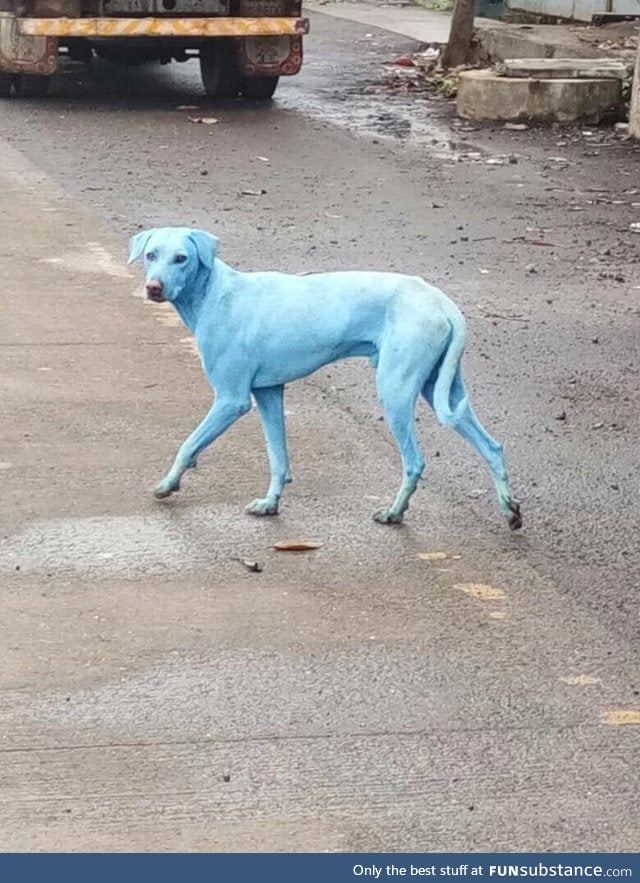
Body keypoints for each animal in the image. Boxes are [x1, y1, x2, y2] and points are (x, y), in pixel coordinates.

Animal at [127, 230, 524, 532]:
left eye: (182, 258)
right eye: (151, 255)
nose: (153, 288)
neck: (215, 293)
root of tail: (440, 300)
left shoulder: (231, 400)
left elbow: (189, 444)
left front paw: (168, 484)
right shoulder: (268, 393)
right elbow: (278, 458)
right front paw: (270, 503)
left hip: (395, 390)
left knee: (415, 461)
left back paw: (394, 513)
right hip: (441, 388)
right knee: (491, 446)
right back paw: (510, 511)